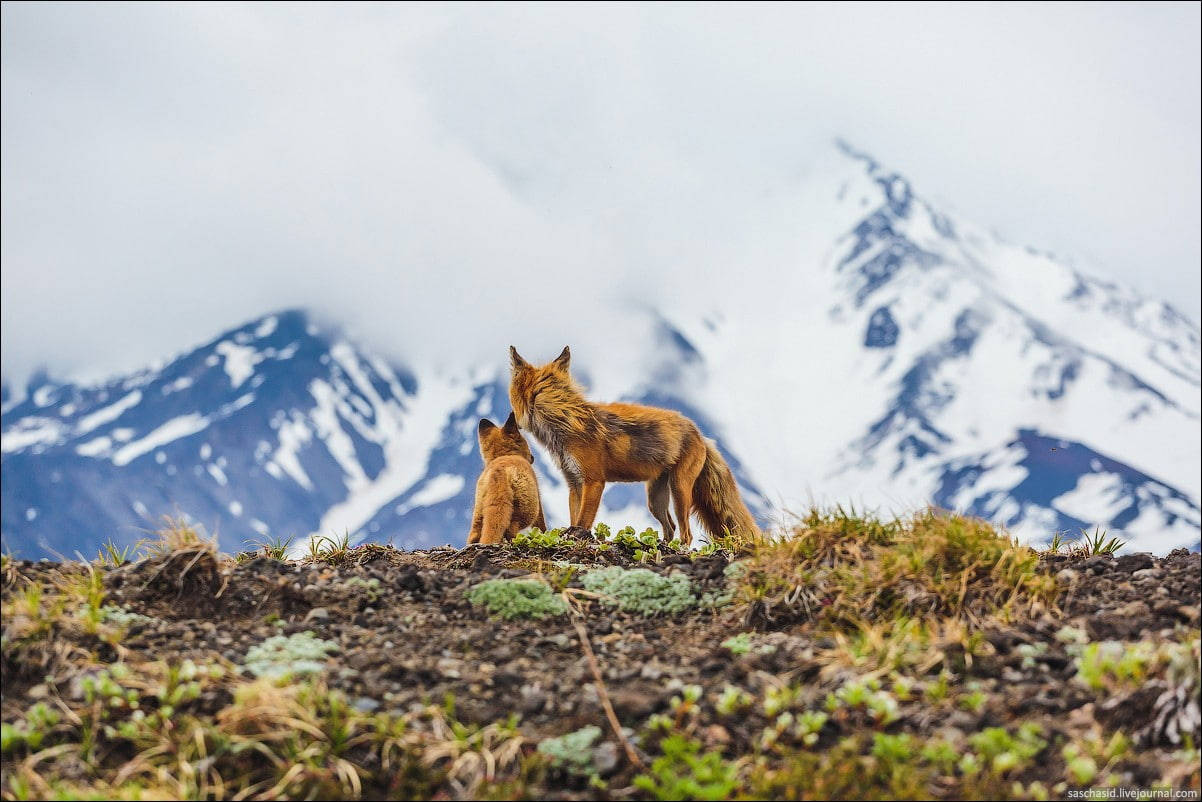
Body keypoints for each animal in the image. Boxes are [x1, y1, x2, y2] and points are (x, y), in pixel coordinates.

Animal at [509, 346, 754, 545]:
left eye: (540, 393)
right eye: (520, 394)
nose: (521, 418)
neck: (566, 427)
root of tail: (699, 433)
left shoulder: (594, 481)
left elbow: (583, 520)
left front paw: (577, 536)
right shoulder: (574, 483)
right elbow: (574, 516)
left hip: (680, 490)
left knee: (686, 534)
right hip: (655, 500)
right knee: (671, 527)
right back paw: (663, 546)